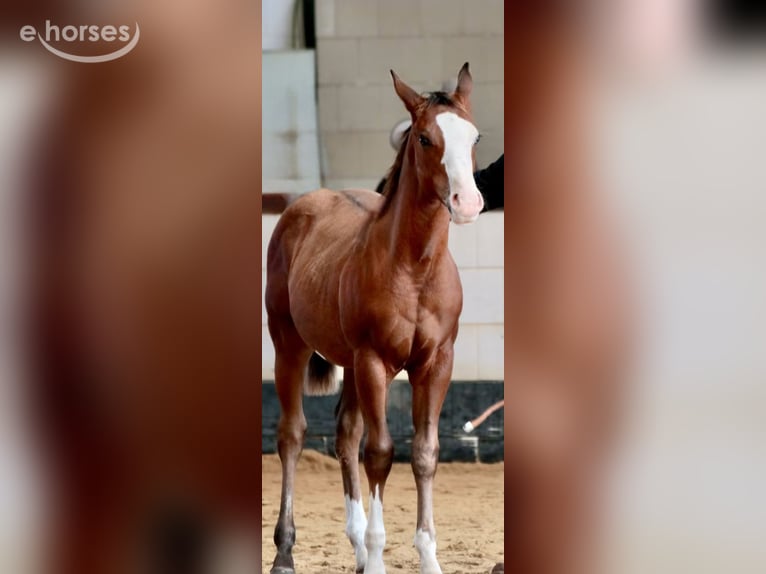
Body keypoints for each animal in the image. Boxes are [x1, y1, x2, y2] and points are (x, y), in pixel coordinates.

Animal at [265, 63, 484, 574]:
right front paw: (380, 555)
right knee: (293, 435)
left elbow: (424, 453)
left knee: (345, 434)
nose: (467, 202)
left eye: (474, 136)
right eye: (424, 138)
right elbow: (381, 453)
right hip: (290, 346)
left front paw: (426, 559)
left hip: (347, 364)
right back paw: (285, 552)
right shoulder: (373, 362)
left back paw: (360, 547)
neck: (414, 269)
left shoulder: (436, 364)